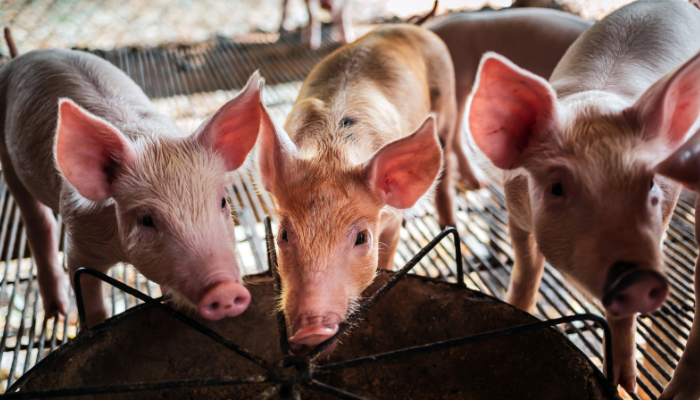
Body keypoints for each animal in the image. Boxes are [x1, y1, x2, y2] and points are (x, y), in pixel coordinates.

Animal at [256, 24, 448, 356]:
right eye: (283, 235)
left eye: (362, 238)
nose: (311, 331)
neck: (333, 153)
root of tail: (407, 26)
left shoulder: (393, 222)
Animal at [468, 0, 700, 394]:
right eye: (557, 187)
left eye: (650, 183)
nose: (638, 278)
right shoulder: (516, 209)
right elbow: (526, 267)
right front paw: (516, 312)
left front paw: (625, 386)